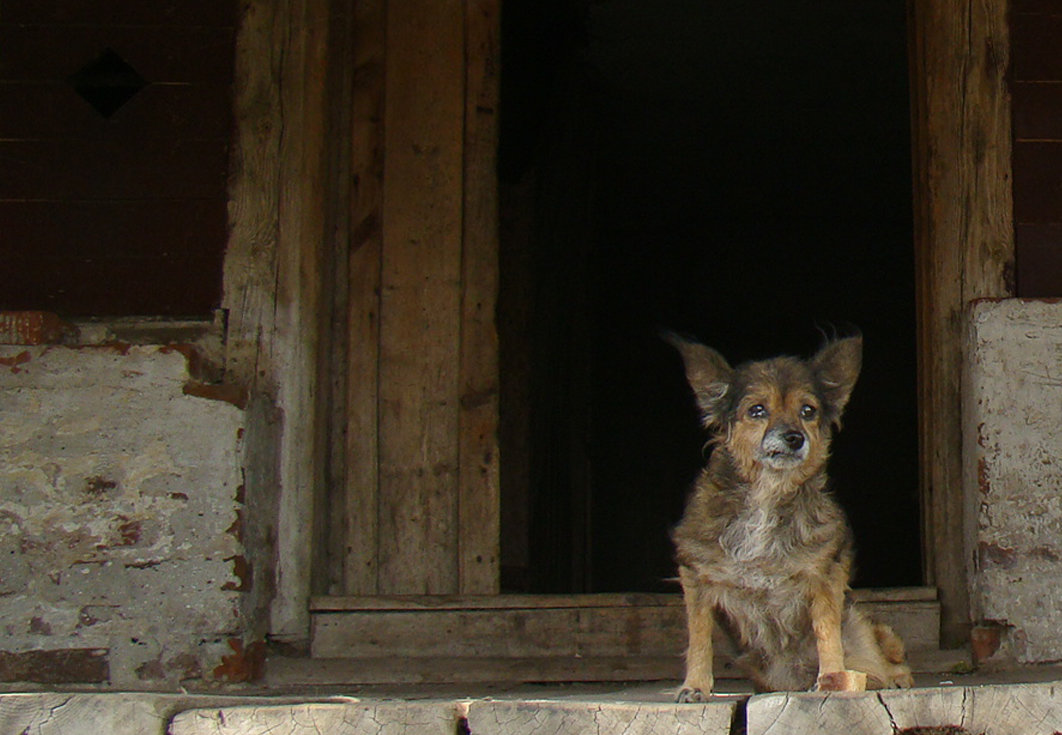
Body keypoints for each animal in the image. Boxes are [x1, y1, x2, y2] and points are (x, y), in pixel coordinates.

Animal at [666, 333, 909, 701]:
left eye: (808, 411)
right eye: (757, 410)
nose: (795, 438)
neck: (768, 496)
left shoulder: (824, 575)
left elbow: (826, 632)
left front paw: (831, 678)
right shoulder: (696, 574)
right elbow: (699, 639)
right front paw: (695, 685)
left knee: (888, 664)